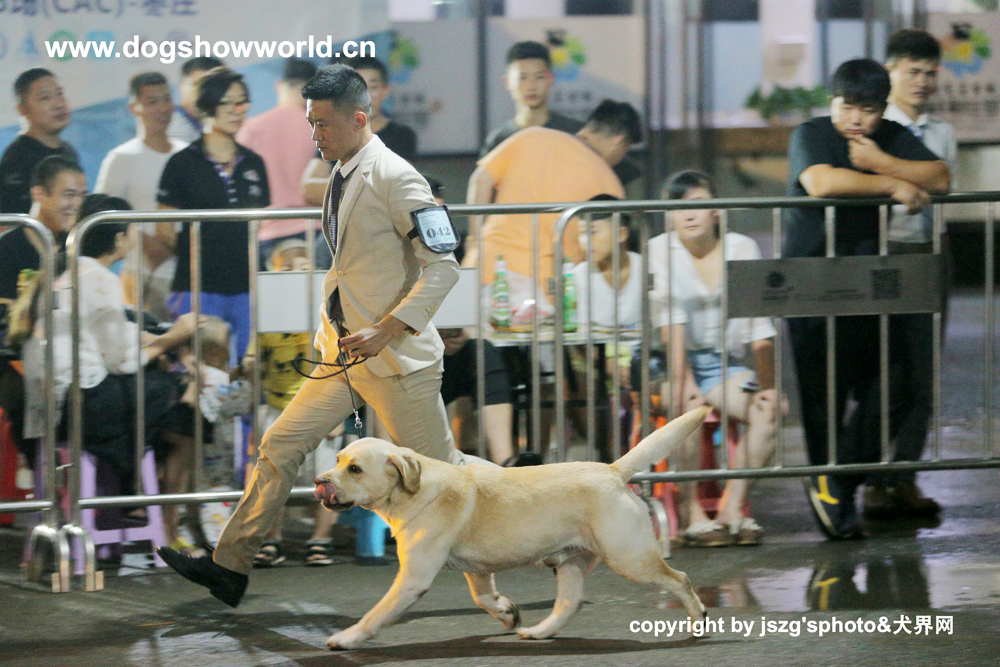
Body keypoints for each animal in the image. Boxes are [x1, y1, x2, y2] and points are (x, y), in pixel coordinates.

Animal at [313, 405, 711, 650]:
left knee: (680, 579)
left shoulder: (413, 577)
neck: (413, 491)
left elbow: (376, 613)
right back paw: (538, 631)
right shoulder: (476, 569)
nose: (319, 482)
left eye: (355, 469)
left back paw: (699, 622)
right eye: (337, 459)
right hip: (572, 562)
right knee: (568, 604)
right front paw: (507, 611)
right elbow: (483, 596)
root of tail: (614, 470)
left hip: (630, 557)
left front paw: (348, 638)